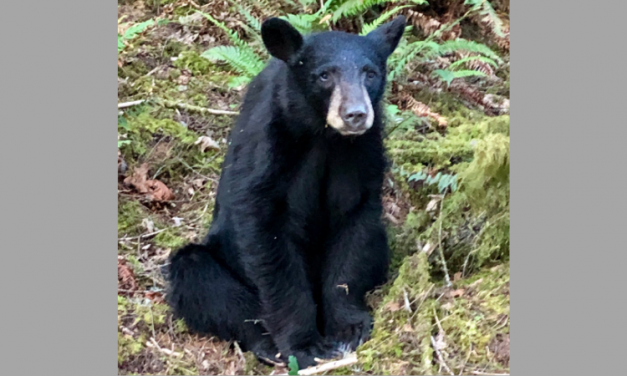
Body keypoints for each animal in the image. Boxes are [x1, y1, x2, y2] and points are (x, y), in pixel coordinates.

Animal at [166, 16, 408, 368]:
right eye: (324, 75)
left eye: (370, 73)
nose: (356, 114)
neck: (323, 136)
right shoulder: (268, 147)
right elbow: (267, 238)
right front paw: (304, 344)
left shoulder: (362, 153)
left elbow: (355, 223)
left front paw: (348, 327)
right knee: (198, 276)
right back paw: (266, 343)